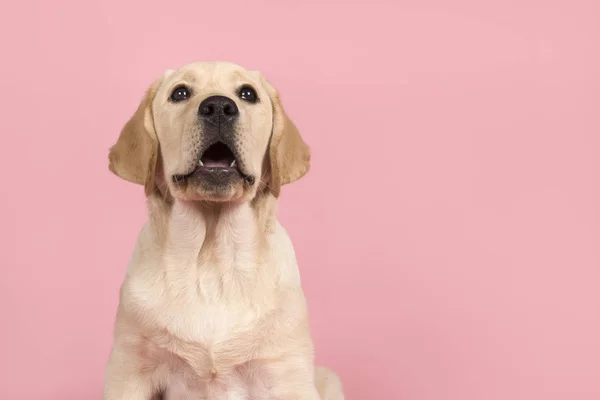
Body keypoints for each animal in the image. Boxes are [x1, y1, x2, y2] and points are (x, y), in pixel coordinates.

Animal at [105, 61, 344, 400]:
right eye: (180, 93)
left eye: (247, 94)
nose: (218, 107)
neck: (211, 261)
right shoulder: (130, 370)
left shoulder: (286, 373)